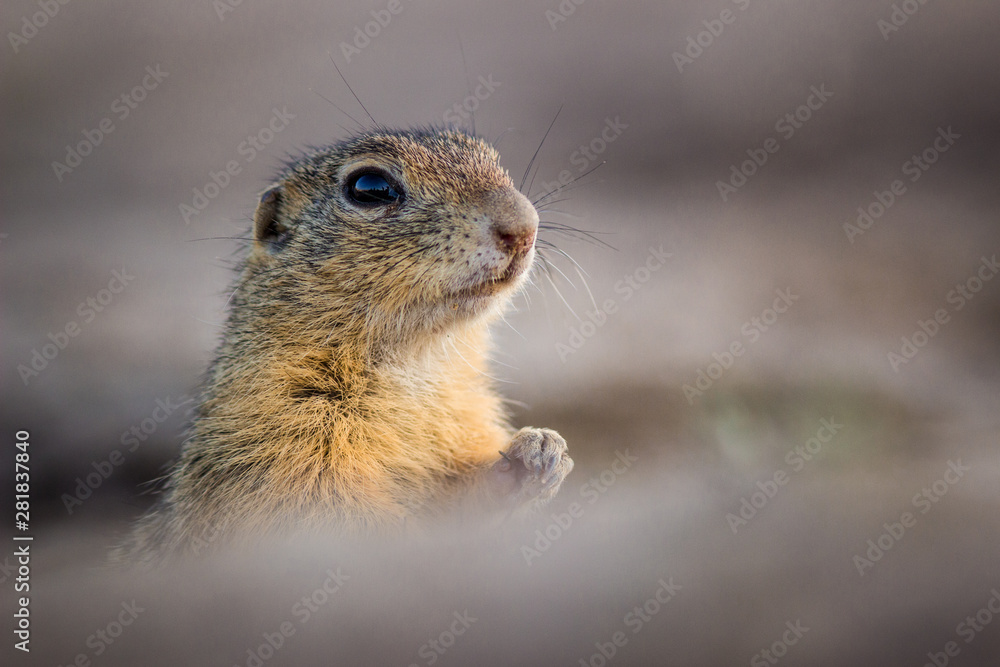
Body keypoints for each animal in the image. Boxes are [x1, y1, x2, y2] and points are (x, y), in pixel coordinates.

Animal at [119, 127, 573, 564]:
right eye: (370, 188)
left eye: (492, 159)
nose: (524, 227)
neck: (417, 363)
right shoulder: (283, 441)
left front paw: (539, 452)